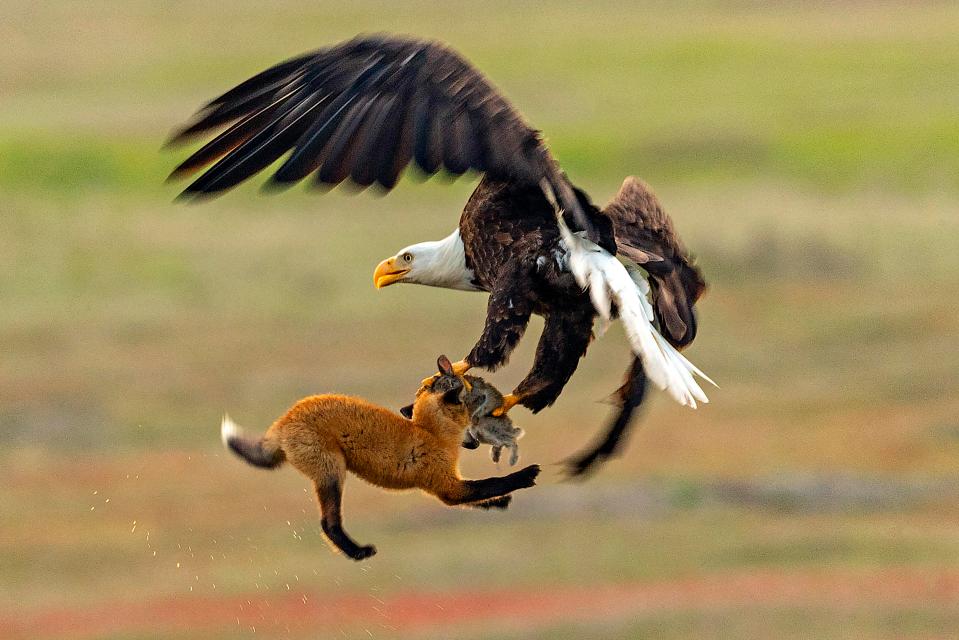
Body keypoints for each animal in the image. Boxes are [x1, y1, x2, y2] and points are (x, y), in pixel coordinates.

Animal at [220, 356, 544, 560]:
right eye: (469, 405)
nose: (475, 440)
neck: (430, 433)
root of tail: (284, 420)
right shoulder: (445, 485)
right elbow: (490, 483)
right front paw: (525, 475)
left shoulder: (448, 487)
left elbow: (479, 496)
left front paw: (498, 504)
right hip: (332, 473)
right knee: (328, 524)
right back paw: (357, 553)